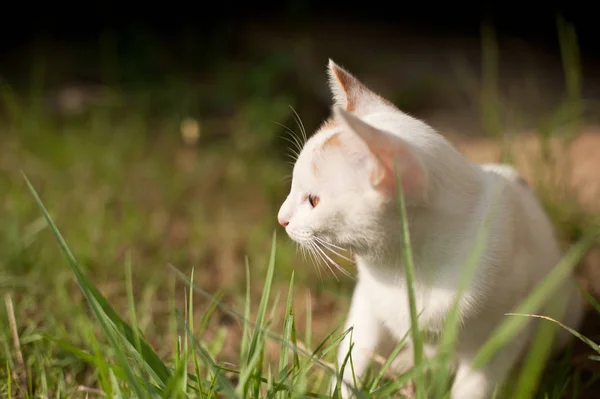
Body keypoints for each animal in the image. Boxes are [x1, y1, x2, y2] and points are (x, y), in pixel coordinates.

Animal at [278, 60, 584, 399]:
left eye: (313, 200)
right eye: (294, 187)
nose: (281, 218)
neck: (405, 268)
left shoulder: (499, 338)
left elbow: (473, 387)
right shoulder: (367, 304)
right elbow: (354, 356)